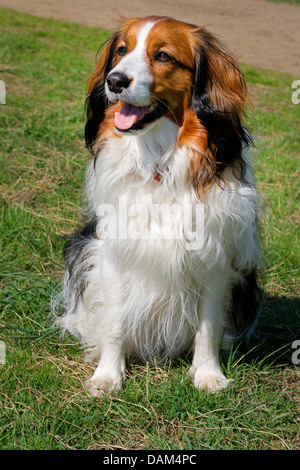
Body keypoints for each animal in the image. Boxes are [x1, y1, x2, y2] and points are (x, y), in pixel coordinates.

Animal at [55, 14, 262, 394]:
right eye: (122, 51)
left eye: (163, 56)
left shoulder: (215, 258)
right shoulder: (114, 252)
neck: (158, 159)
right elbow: (115, 322)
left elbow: (208, 326)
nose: (114, 80)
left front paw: (207, 374)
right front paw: (108, 376)